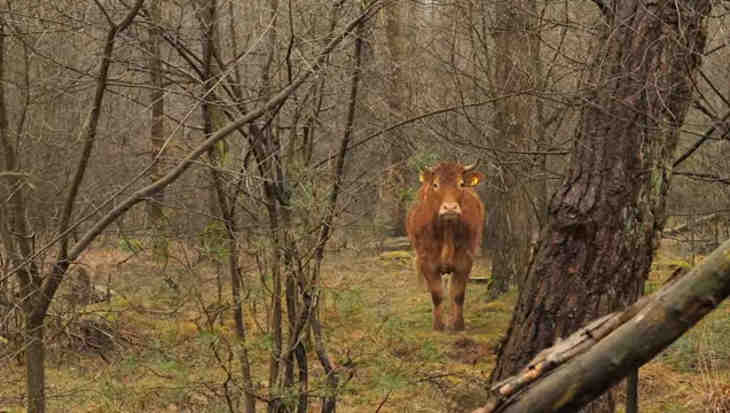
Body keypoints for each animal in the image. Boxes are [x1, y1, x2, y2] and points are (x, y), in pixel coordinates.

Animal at [406, 161, 485, 331]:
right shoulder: (427, 261)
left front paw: (458, 324)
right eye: (436, 185)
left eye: (461, 184)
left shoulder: (465, 259)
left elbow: (457, 294)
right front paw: (438, 325)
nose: (450, 208)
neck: (447, 231)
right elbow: (437, 294)